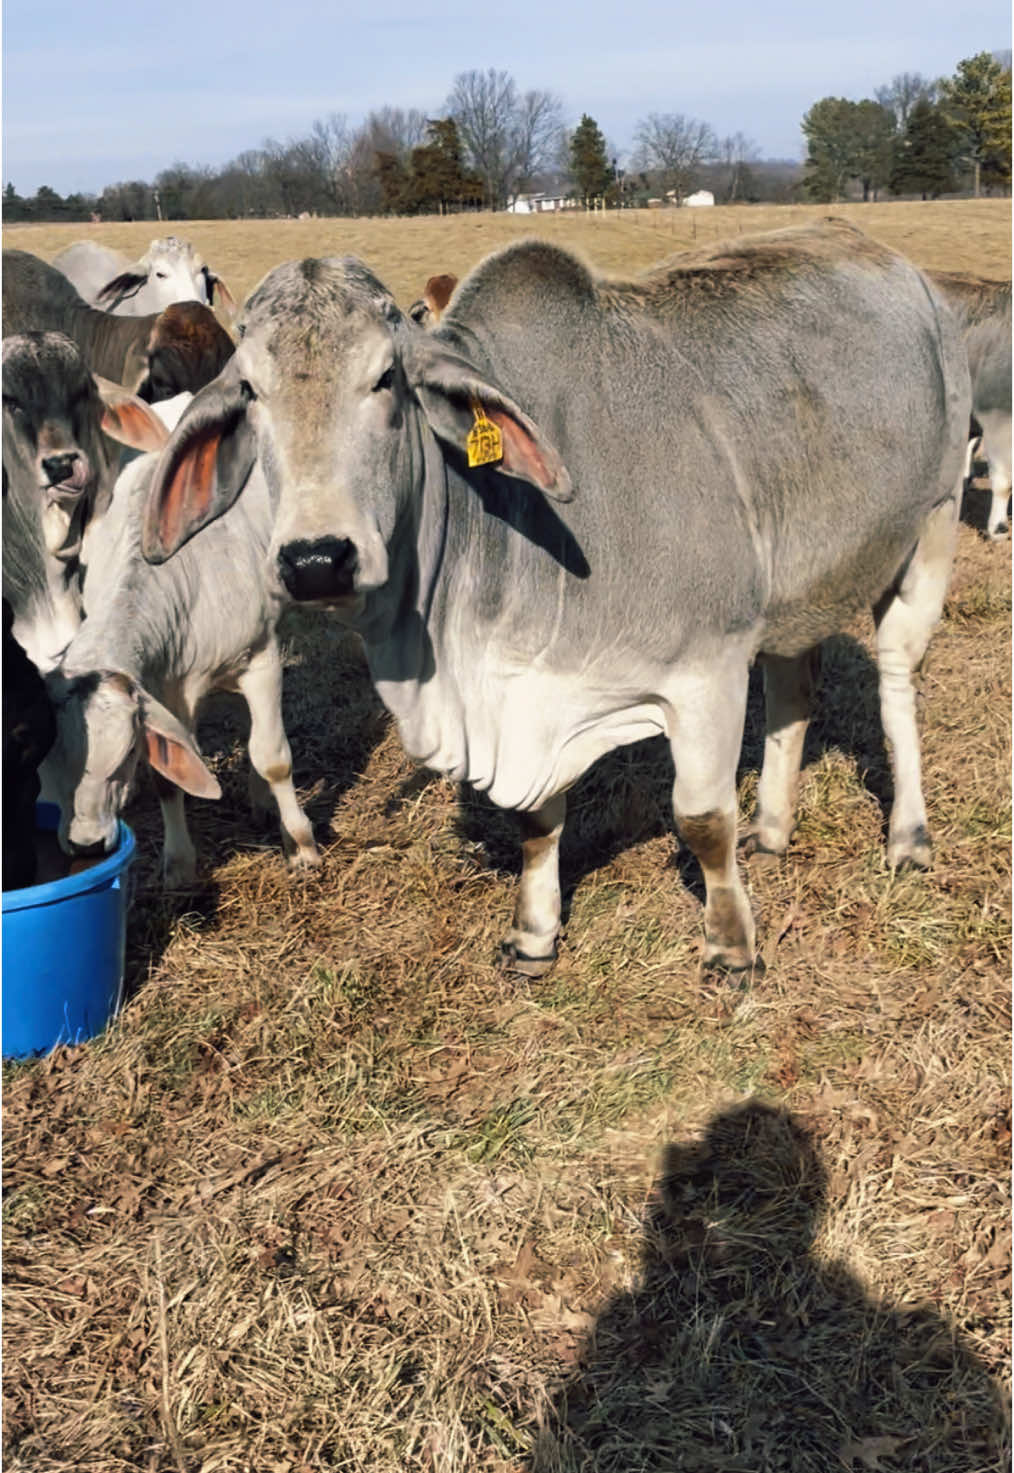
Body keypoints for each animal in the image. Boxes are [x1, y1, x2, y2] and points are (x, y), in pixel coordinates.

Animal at [138, 218, 972, 972]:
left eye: (386, 379)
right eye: (251, 392)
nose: (316, 559)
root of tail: (899, 266)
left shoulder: (706, 668)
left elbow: (702, 819)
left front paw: (732, 944)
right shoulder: (531, 692)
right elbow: (538, 821)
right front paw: (534, 932)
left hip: (931, 528)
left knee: (897, 683)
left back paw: (908, 834)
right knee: (794, 683)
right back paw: (772, 826)